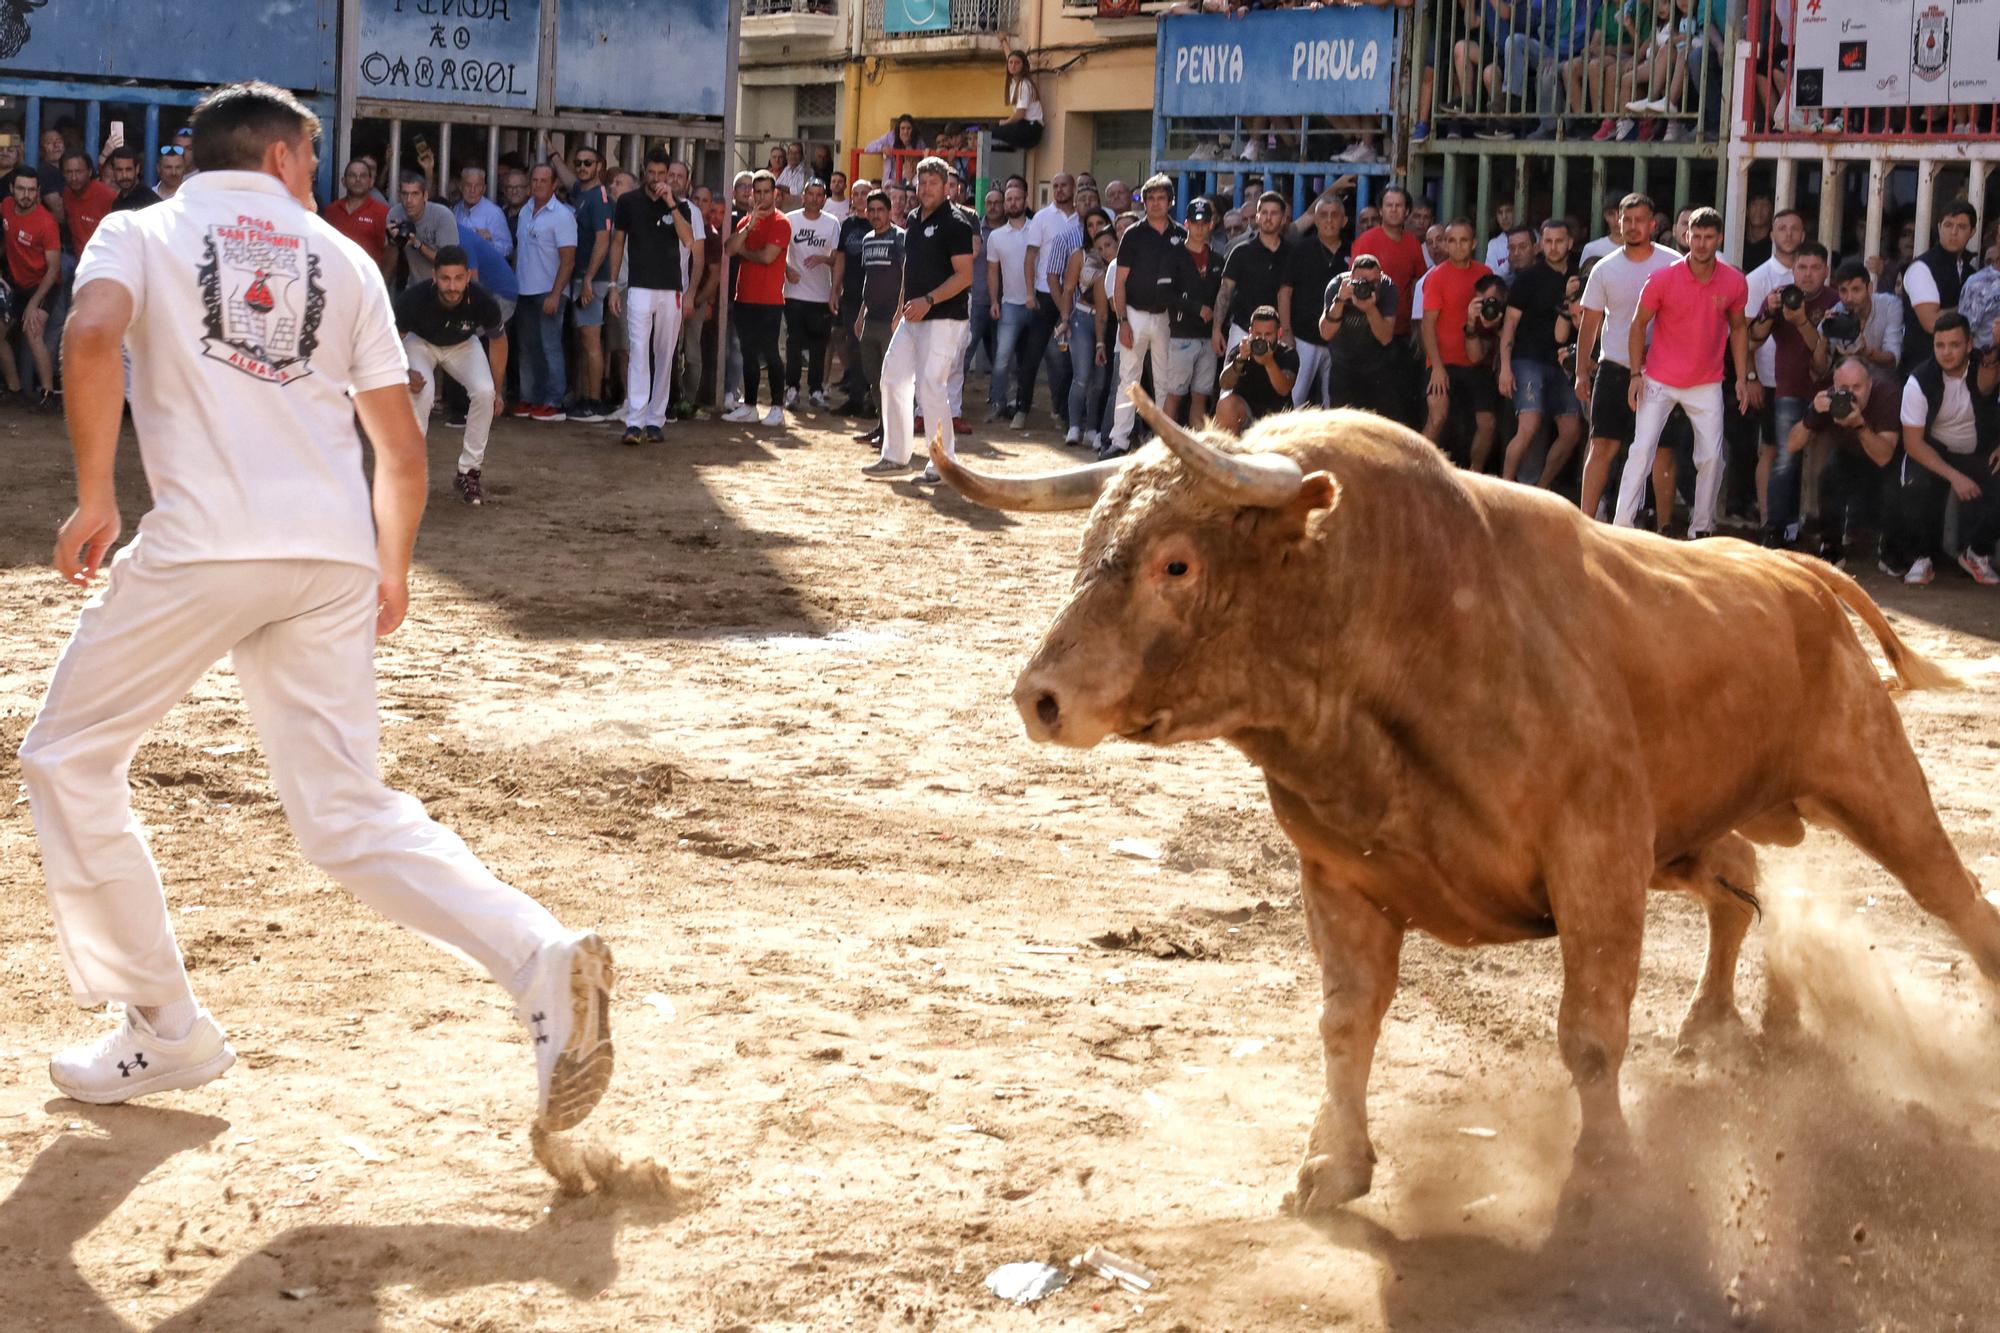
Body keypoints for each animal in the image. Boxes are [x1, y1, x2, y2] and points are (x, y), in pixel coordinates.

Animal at [932, 390, 2000, 1208]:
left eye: (1177, 563)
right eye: (1089, 542)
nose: (1040, 696)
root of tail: (1796, 571)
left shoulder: (1599, 859)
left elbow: (1591, 1034)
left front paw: (1605, 1171)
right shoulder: (1340, 879)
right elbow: (1346, 1023)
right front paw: (1332, 1165)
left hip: (1873, 780)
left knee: (1956, 900)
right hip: (1689, 837)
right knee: (1740, 883)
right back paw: (1711, 1022)